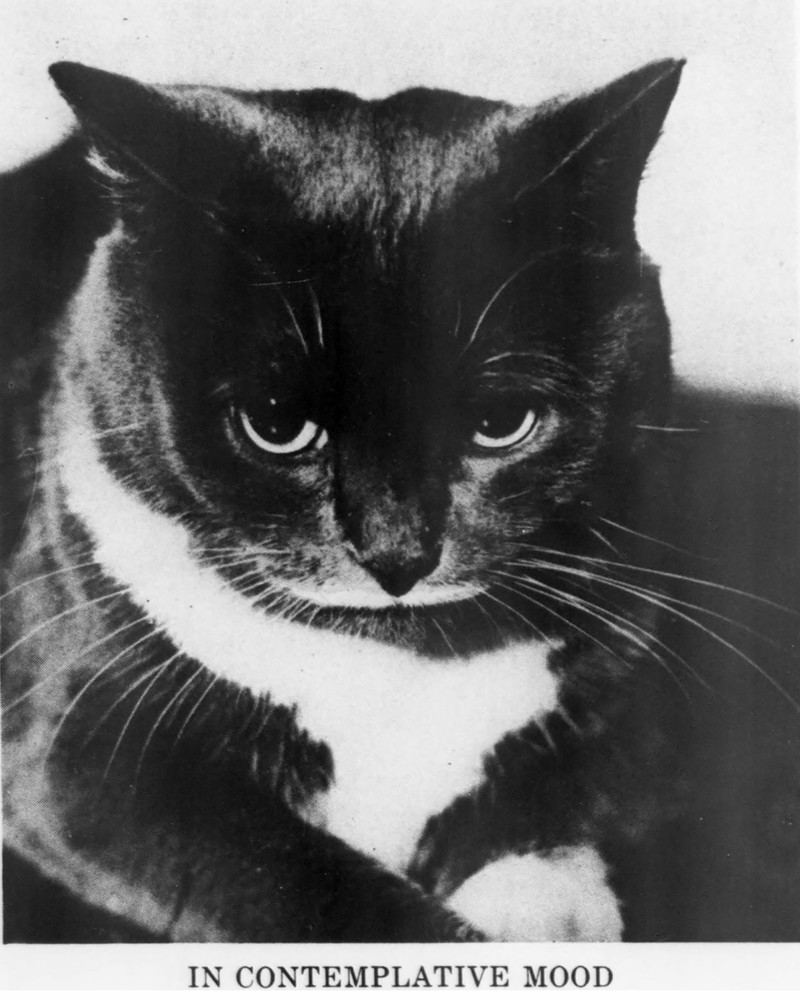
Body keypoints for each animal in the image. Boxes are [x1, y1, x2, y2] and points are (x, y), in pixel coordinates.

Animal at [2, 56, 796, 943]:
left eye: (500, 421)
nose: (396, 552)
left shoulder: (639, 700)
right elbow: (318, 889)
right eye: (275, 425)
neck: (392, 663)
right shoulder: (76, 753)